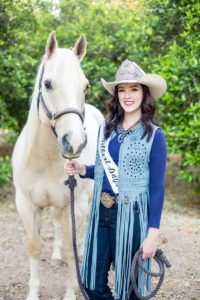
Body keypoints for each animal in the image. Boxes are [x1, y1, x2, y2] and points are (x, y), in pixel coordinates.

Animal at [12, 32, 103, 300]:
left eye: (85, 86)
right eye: (48, 84)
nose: (74, 142)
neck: (45, 159)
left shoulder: (77, 206)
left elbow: (73, 250)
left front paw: (71, 293)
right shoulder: (26, 205)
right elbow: (35, 246)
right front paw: (33, 293)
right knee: (57, 222)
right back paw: (55, 256)